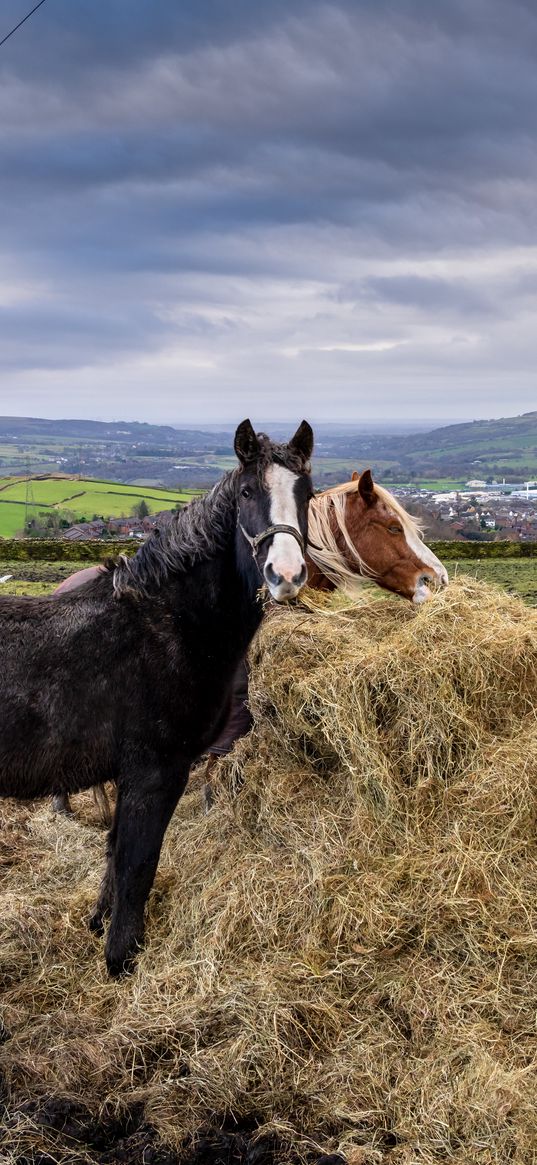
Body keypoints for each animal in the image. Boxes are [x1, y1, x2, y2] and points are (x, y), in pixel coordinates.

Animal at [0, 419, 314, 973]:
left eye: (308, 494)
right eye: (248, 492)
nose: (287, 575)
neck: (166, 624)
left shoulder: (130, 773)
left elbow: (115, 851)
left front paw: (100, 924)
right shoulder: (156, 769)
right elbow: (137, 862)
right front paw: (122, 959)